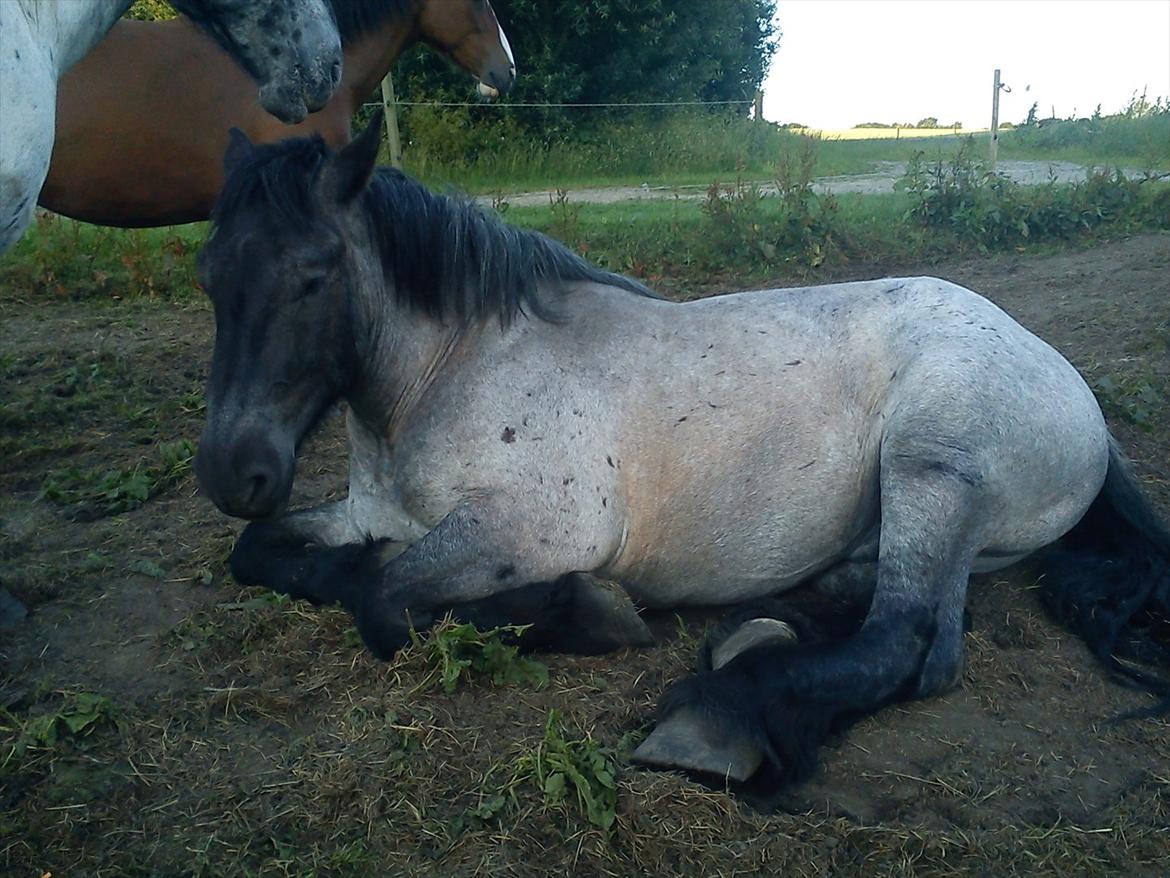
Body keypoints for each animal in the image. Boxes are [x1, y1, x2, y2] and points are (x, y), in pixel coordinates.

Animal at [191, 113, 1170, 796]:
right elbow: (267, 552)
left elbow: (386, 602)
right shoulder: (364, 513)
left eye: (314, 274)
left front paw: (587, 611)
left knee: (910, 643)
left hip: (931, 465)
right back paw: (766, 629)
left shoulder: (538, 530)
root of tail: (1072, 388)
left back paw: (718, 717)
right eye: (209, 275)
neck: (448, 369)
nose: (234, 473)